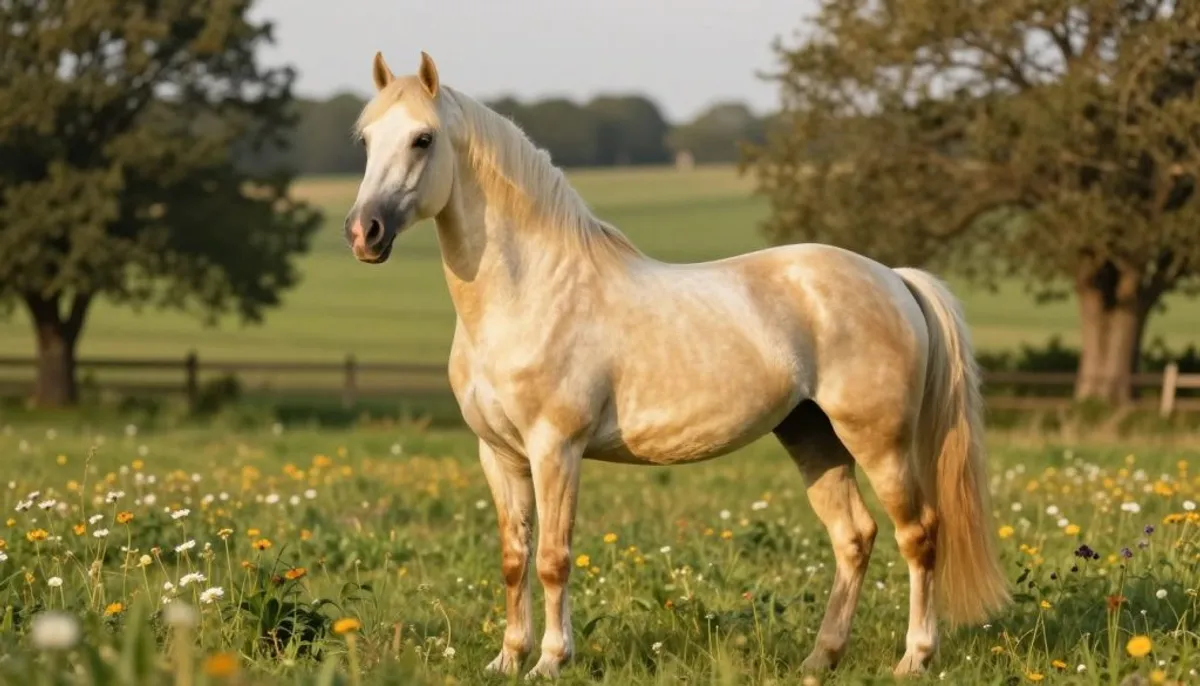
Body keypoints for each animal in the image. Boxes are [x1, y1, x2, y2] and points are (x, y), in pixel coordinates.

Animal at [343, 51, 1010, 680]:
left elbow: (554, 557)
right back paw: (820, 660)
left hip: (879, 442)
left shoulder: (555, 448)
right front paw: (507, 659)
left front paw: (551, 660)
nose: (363, 232)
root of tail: (894, 278)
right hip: (812, 436)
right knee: (854, 537)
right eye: (367, 140)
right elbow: (515, 558)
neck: (531, 291)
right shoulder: (499, 454)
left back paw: (914, 658)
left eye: (423, 139)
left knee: (918, 535)